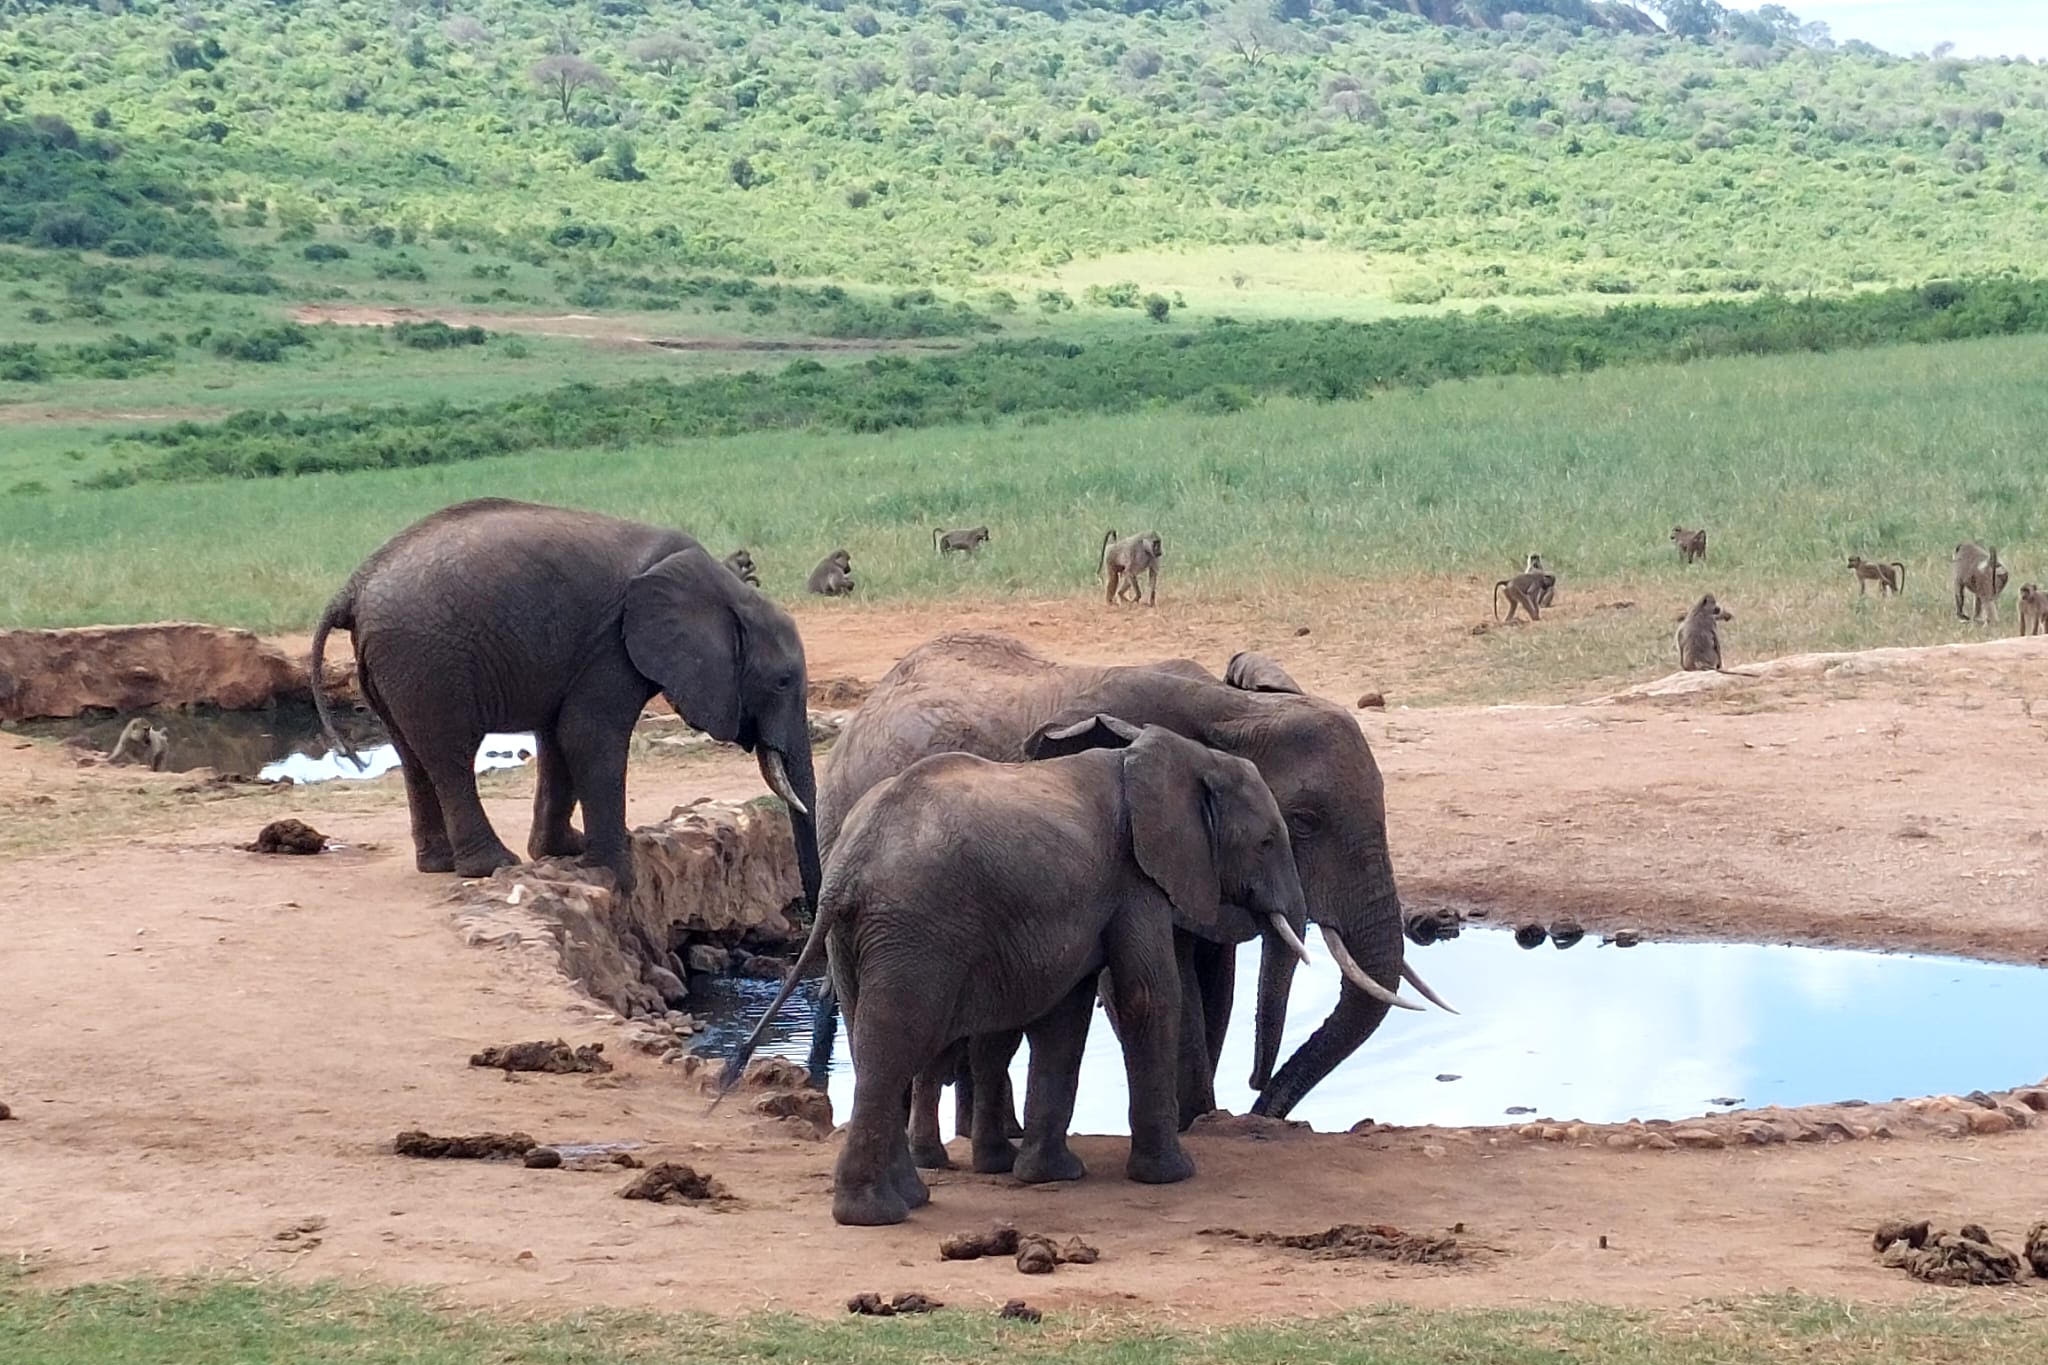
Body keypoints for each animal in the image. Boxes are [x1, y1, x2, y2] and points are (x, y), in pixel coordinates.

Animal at [307, 501, 819, 908]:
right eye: (782, 681)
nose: (806, 911)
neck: (724, 586)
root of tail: (354, 587)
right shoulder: (613, 645)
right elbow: (589, 736)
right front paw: (618, 876)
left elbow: (559, 738)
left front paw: (564, 850)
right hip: (427, 659)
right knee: (450, 755)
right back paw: (491, 865)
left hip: (393, 663)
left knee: (412, 754)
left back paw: (439, 864)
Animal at [729, 720, 1318, 1236]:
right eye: (1268, 841)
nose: (1254, 1088)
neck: (1168, 757)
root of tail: (846, 869)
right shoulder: (1134, 880)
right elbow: (1145, 997)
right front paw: (1171, 1175)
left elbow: (1067, 1016)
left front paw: (1050, 1175)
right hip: (917, 930)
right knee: (895, 1045)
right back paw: (875, 1215)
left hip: (862, 939)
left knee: (874, 1041)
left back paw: (908, 1198)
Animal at [806, 634, 1449, 1129]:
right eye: (1304, 822)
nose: (1259, 1099)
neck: (1232, 711)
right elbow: (1155, 985)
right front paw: (1198, 1122)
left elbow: (1214, 985)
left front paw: (1202, 1120)